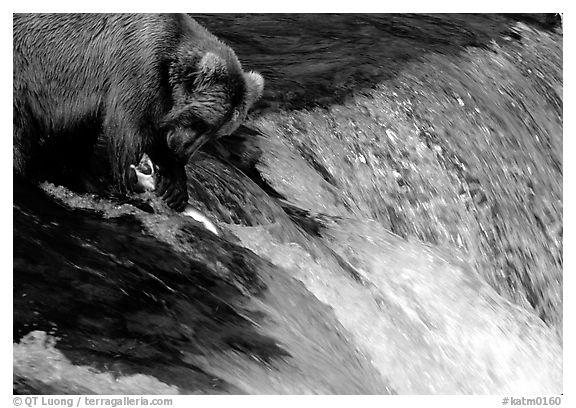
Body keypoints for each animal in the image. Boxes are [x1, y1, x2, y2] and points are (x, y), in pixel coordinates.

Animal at [12, 12, 264, 210]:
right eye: (200, 122)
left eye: (217, 133)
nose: (182, 153)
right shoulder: (135, 69)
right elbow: (130, 129)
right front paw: (129, 180)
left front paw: (174, 187)